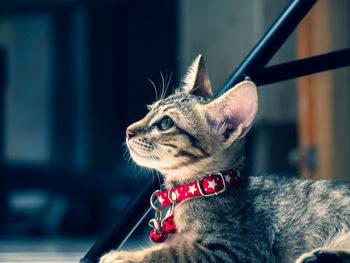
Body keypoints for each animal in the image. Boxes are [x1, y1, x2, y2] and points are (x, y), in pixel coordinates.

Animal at [100, 54, 350, 262]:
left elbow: (172, 252)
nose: (128, 131)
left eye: (165, 123)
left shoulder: (238, 248)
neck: (204, 187)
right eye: (149, 109)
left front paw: (123, 256)